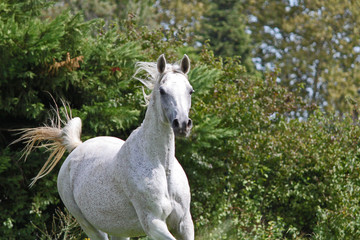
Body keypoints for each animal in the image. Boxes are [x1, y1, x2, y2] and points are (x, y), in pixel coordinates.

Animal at [17, 54, 194, 240]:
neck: (161, 165)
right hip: (90, 226)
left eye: (190, 90)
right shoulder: (153, 223)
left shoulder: (184, 223)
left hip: (120, 230)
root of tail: (76, 148)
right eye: (162, 91)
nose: (182, 124)